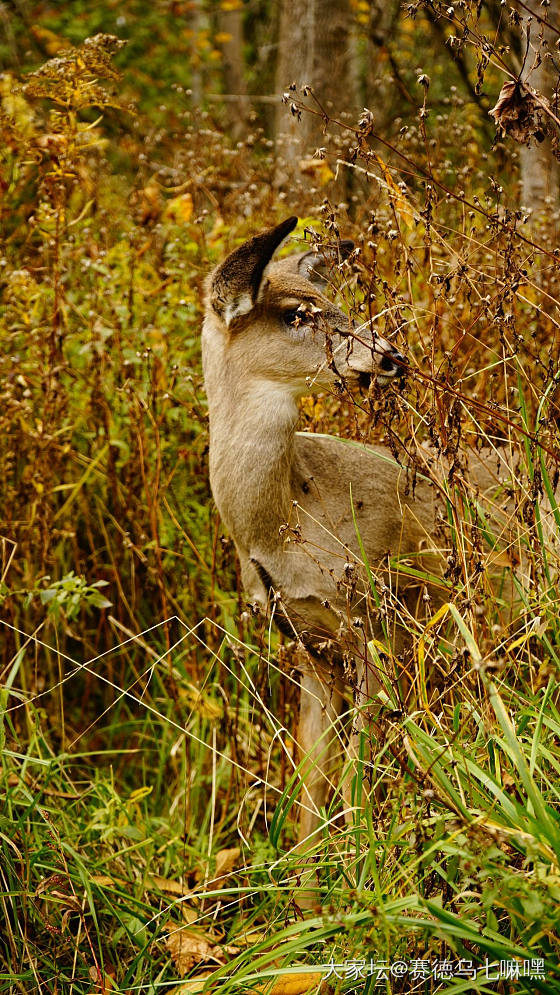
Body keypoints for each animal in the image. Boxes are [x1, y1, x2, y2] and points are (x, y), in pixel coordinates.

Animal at [201, 214, 540, 860]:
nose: (392, 356)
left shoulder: (376, 621)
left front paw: (364, 872)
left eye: (336, 304)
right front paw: (305, 882)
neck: (286, 524)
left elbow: (358, 778)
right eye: (295, 315)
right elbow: (311, 785)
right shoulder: (309, 645)